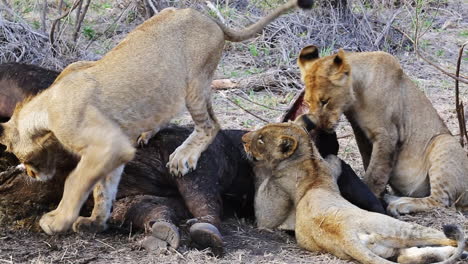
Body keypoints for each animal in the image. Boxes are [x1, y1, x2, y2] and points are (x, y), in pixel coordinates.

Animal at [0, 0, 314, 235]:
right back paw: (148, 133)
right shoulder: (115, 150)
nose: (31, 174)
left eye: (20, 155)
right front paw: (95, 222)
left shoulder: (105, 144)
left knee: (211, 124)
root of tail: (208, 19)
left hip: (194, 83)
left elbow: (76, 182)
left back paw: (182, 157)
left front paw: (57, 221)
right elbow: (104, 188)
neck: (44, 107)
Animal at [243, 120, 466, 264]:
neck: (308, 159)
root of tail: (346, 235)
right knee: (418, 251)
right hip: (397, 232)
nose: (244, 138)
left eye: (261, 138)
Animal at [294, 44, 468, 216]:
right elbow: (368, 162)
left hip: (445, 141)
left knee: (441, 201)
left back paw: (401, 205)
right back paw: (392, 199)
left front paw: (370, 194)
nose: (318, 126)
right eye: (308, 102)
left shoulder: (387, 134)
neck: (357, 95)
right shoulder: (360, 132)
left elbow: (376, 172)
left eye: (325, 101)